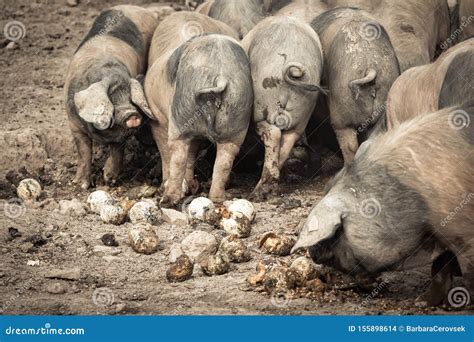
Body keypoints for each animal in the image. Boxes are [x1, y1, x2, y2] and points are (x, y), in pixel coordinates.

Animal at [65, 5, 159, 188]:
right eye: (112, 101)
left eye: (131, 99)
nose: (132, 114)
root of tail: (144, 9)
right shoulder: (73, 125)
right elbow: (84, 152)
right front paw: (80, 184)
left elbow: (117, 151)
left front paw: (109, 179)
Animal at [144, 12, 254, 206]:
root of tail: (221, 75)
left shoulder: (156, 119)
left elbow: (166, 151)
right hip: (238, 113)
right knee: (225, 159)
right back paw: (217, 198)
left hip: (182, 111)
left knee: (177, 155)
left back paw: (168, 199)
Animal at [241, 16, 326, 200]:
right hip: (304, 110)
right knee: (288, 140)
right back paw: (268, 189)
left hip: (264, 100)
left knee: (273, 134)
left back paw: (256, 194)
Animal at [292, 103, 474, 306]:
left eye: (338, 232)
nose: (313, 252)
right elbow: (440, 268)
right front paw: (422, 302)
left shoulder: (463, 233)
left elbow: (467, 274)